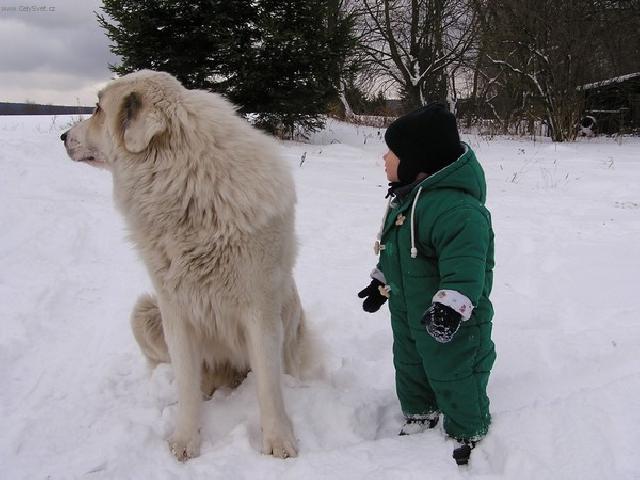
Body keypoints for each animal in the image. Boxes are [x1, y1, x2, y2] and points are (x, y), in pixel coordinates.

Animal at [61, 69, 316, 460]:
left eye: (98, 108)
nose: (62, 137)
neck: (185, 184)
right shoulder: (174, 310)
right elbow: (185, 386)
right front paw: (185, 440)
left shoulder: (260, 310)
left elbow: (269, 388)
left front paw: (279, 441)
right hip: (144, 310)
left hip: (289, 308)